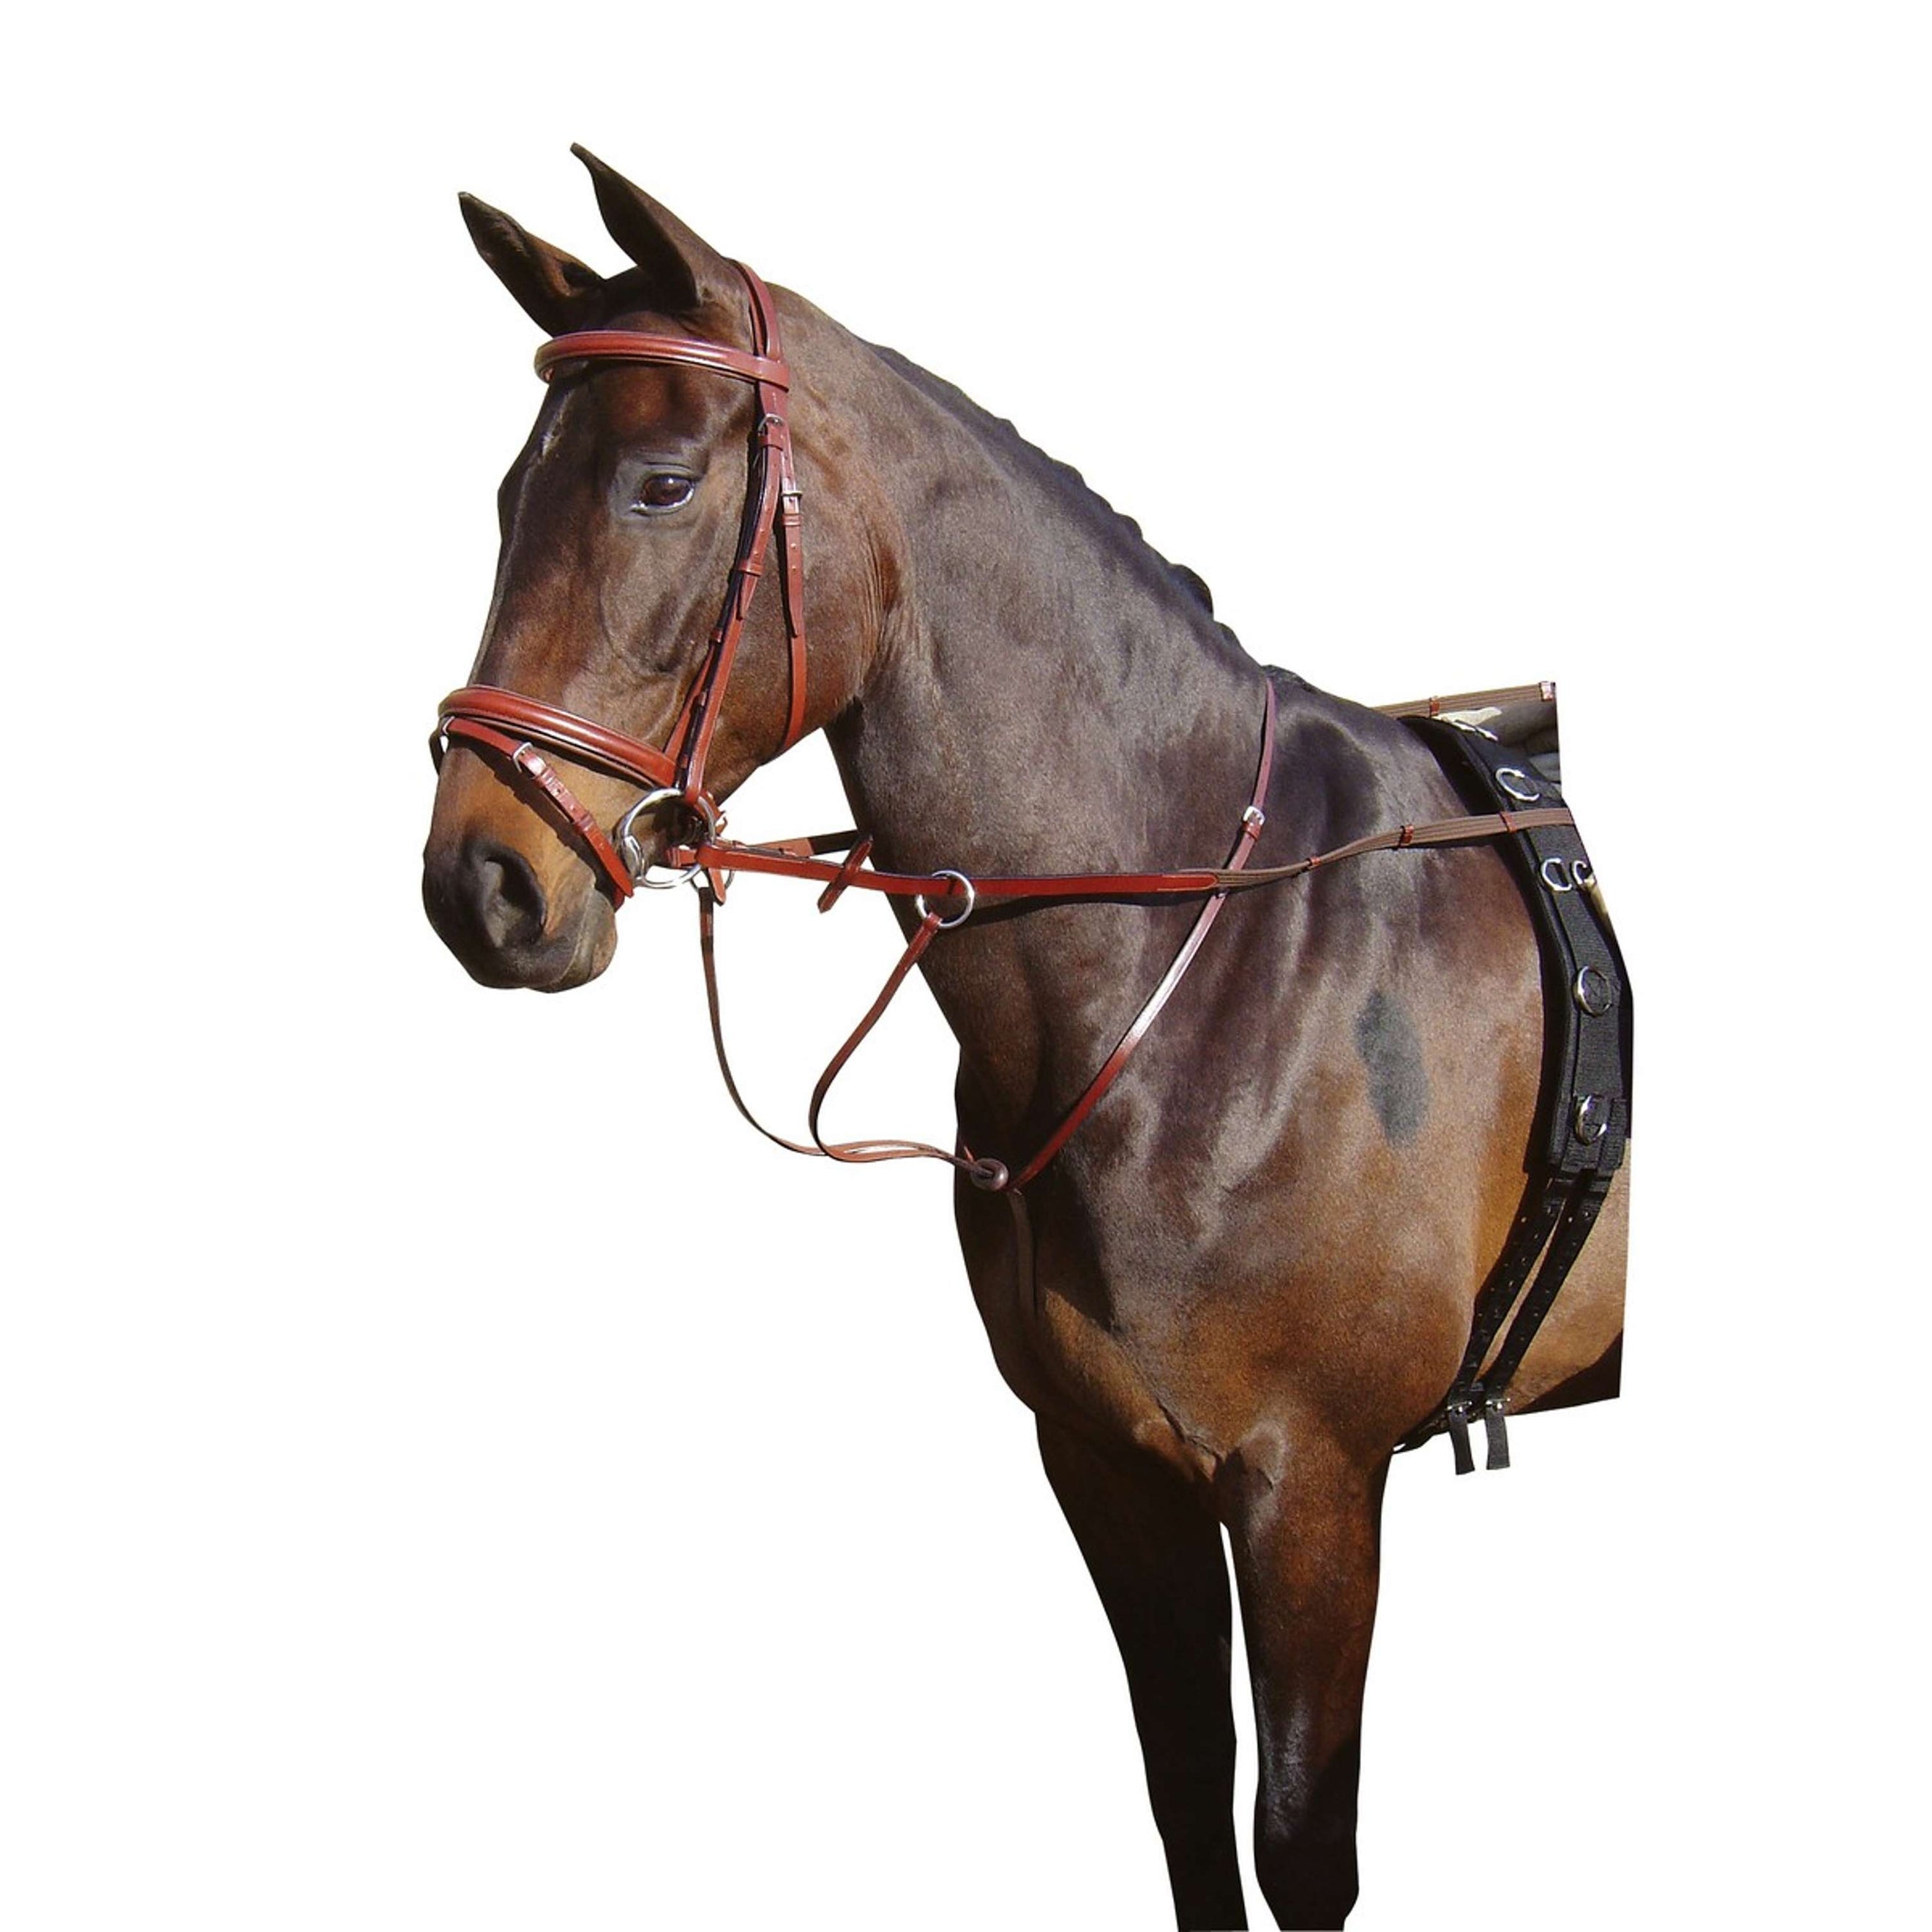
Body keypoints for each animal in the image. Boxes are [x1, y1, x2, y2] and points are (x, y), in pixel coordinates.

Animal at [421, 147, 1629, 1931]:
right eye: (512, 500)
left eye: (658, 484)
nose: (482, 882)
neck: (1207, 951)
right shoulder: (1109, 1470)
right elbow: (1189, 1804)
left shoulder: (1314, 1481)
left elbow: (1300, 1849)